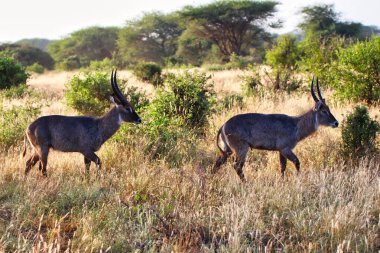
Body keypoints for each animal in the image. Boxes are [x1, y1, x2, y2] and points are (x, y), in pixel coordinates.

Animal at [212, 77, 340, 180]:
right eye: (324, 111)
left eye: (328, 109)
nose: (336, 123)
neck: (296, 125)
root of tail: (223, 125)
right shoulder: (285, 148)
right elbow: (297, 162)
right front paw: (299, 179)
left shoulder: (280, 151)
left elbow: (282, 167)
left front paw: (282, 181)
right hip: (241, 149)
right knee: (237, 166)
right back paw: (245, 183)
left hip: (227, 150)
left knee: (217, 164)